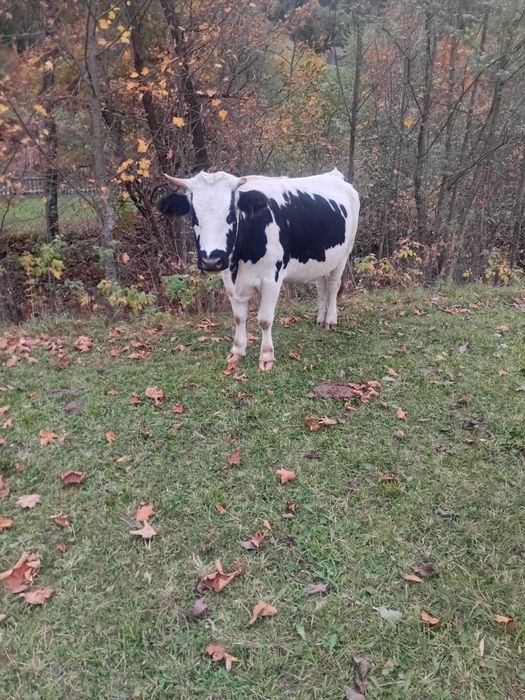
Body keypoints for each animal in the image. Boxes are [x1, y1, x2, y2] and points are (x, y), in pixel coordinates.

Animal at [158, 169, 360, 371]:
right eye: (194, 216)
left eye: (231, 214)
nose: (211, 261)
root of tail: (334, 175)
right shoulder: (230, 280)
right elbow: (239, 318)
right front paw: (237, 351)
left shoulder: (272, 280)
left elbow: (264, 319)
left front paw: (267, 356)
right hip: (320, 259)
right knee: (321, 287)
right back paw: (320, 318)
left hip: (345, 253)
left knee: (333, 286)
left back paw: (330, 320)